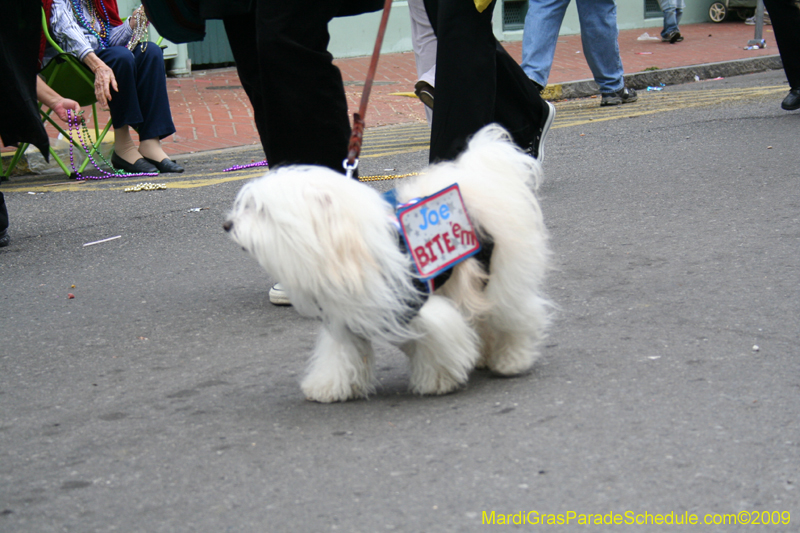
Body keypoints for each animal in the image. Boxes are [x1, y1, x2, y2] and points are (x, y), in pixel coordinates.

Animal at [225, 124, 552, 402]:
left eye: (260, 210)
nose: (227, 225)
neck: (345, 247)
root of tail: (481, 177)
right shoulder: (345, 318)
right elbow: (340, 354)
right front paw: (329, 386)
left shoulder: (418, 304)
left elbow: (438, 340)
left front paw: (438, 381)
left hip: (500, 273)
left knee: (515, 314)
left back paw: (512, 359)